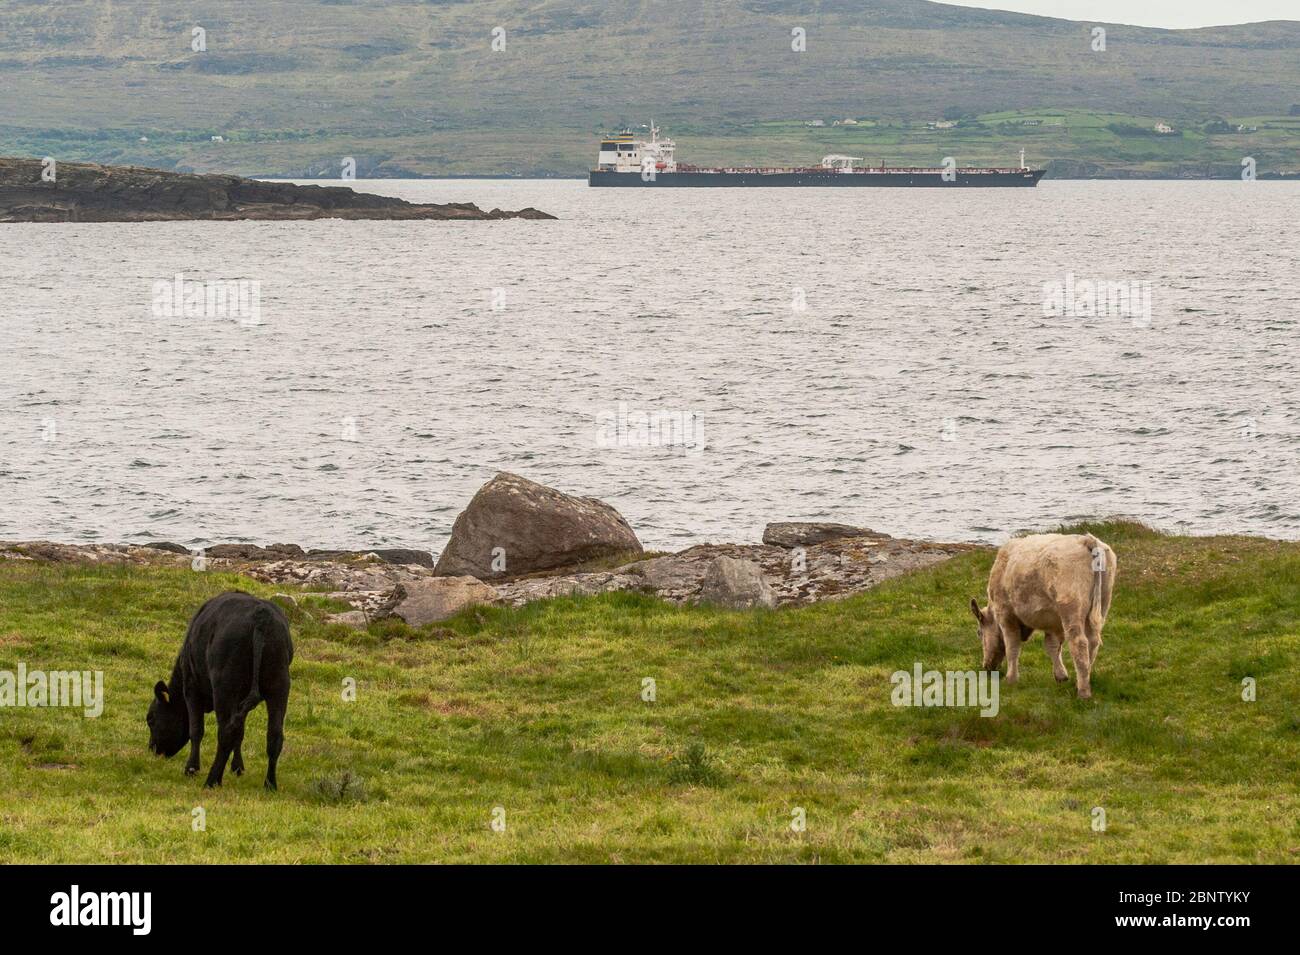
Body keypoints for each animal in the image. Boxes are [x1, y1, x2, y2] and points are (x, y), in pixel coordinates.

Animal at [147, 595, 295, 789]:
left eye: (151, 719)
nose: (152, 749)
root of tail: (261, 616)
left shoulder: (191, 687)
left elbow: (196, 730)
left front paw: (191, 768)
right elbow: (241, 732)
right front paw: (237, 768)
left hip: (224, 686)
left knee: (226, 732)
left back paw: (212, 780)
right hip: (279, 683)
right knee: (274, 735)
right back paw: (270, 784)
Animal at [972, 535, 1112, 696]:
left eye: (979, 633)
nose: (986, 666)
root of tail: (1086, 539)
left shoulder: (1006, 616)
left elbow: (1012, 646)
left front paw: (1011, 678)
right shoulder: (1052, 623)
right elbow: (1052, 646)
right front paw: (1061, 676)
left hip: (1071, 609)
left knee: (1080, 643)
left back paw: (1083, 692)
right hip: (1103, 603)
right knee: (1093, 642)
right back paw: (1083, 680)